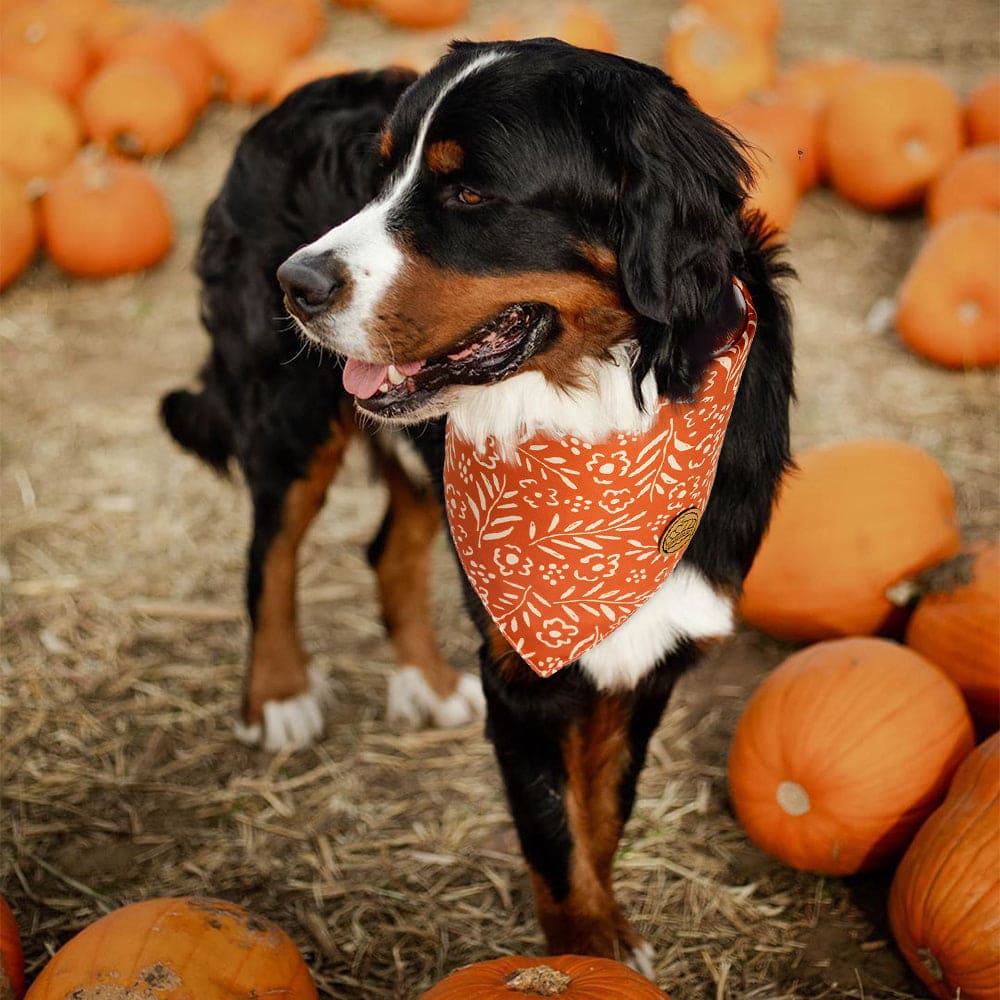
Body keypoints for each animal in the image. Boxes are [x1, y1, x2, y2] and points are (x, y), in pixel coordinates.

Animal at [162, 41, 788, 976]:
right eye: (380, 176)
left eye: (469, 193)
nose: (295, 281)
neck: (601, 409)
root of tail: (301, 93)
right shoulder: (521, 670)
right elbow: (554, 839)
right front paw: (582, 956)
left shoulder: (654, 643)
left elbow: (600, 812)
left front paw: (608, 941)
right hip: (292, 415)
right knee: (268, 553)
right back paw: (278, 695)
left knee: (387, 548)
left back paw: (425, 682)